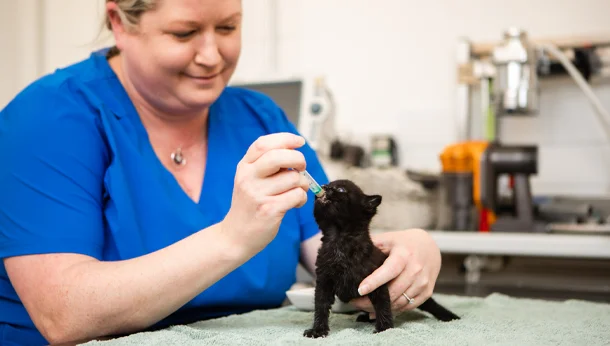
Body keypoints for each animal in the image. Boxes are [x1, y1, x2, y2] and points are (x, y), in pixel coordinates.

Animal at [302, 180, 458, 336]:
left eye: (341, 189)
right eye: (327, 185)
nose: (324, 187)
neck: (339, 240)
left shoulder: (378, 281)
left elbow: (383, 305)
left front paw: (385, 328)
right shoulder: (324, 281)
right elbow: (321, 306)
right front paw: (318, 330)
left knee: (430, 303)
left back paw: (449, 316)